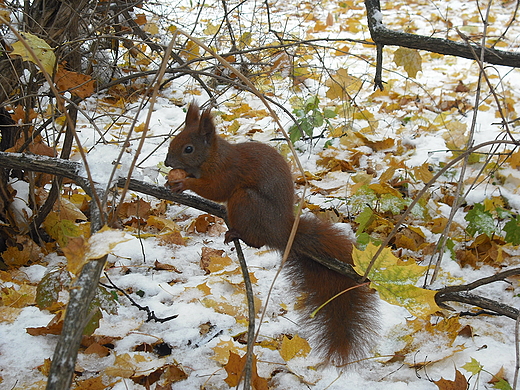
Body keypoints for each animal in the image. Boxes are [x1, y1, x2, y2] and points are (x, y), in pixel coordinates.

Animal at [165, 104, 376, 366]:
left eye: (189, 148)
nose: (167, 162)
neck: (214, 157)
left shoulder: (228, 171)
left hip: (245, 202)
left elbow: (216, 189)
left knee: (257, 239)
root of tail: (281, 230)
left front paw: (183, 183)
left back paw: (237, 234)